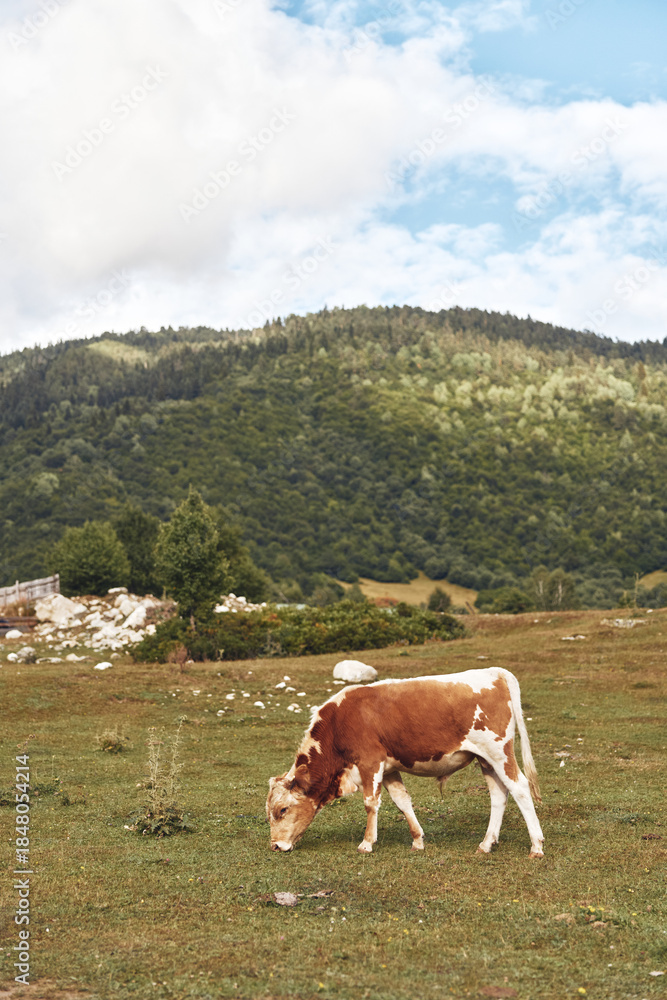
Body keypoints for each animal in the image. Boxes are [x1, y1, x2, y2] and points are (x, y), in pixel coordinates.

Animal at [267, 667, 544, 857]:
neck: (340, 722)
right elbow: (402, 802)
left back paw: (536, 846)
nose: (275, 846)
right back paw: (486, 843)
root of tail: (495, 672)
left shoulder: (370, 762)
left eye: (282, 810)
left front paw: (366, 843)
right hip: (486, 759)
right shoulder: (389, 768)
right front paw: (418, 840)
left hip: (499, 751)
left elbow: (370, 803)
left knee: (520, 788)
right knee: (499, 794)